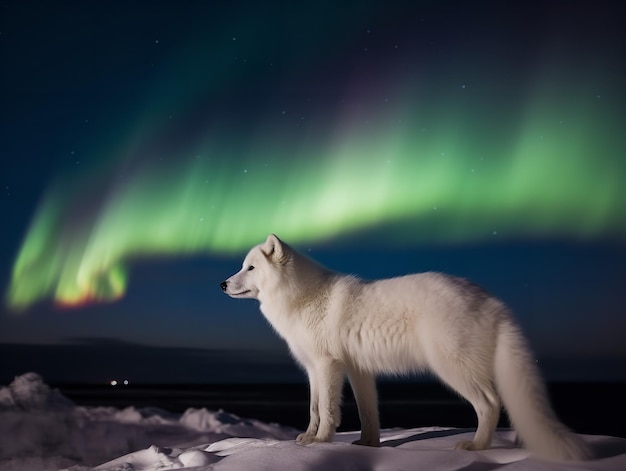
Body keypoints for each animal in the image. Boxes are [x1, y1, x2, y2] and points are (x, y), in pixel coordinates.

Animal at [222, 234, 588, 462]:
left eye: (250, 267)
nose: (222, 283)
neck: (301, 296)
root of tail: (492, 300)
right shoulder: (344, 370)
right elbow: (350, 412)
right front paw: (363, 446)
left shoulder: (327, 367)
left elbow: (326, 411)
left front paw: (321, 443)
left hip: (452, 368)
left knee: (490, 404)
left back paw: (476, 447)